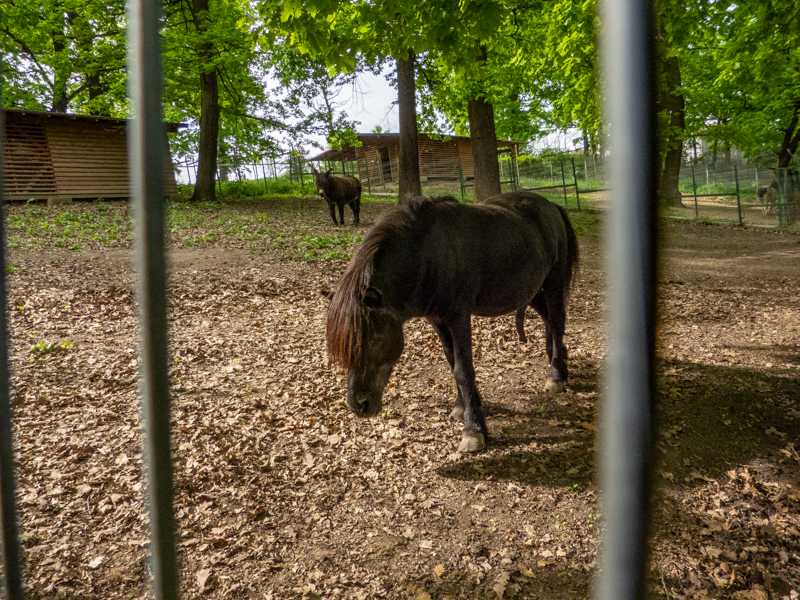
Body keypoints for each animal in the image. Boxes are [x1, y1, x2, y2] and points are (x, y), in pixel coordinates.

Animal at [323, 192, 579, 453]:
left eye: (375, 339)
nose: (359, 404)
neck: (426, 254)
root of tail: (550, 205)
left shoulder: (458, 317)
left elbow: (463, 370)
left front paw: (473, 430)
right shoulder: (437, 320)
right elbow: (451, 360)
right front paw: (464, 406)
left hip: (553, 284)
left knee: (557, 321)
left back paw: (555, 376)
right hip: (533, 291)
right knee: (548, 321)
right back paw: (559, 363)